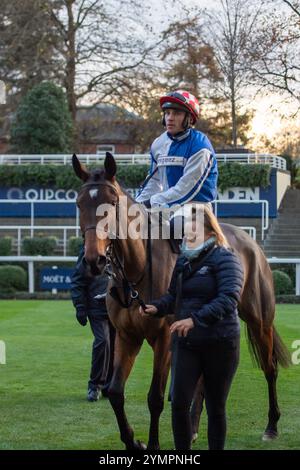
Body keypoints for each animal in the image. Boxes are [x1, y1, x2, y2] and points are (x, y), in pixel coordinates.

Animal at [71, 152, 290, 450]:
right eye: (80, 203)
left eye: (112, 203)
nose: (94, 260)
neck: (137, 270)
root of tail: (251, 242)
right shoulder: (127, 336)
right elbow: (116, 392)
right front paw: (132, 442)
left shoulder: (164, 338)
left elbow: (155, 397)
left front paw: (152, 445)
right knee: (202, 382)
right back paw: (195, 428)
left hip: (260, 320)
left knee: (270, 368)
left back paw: (272, 425)